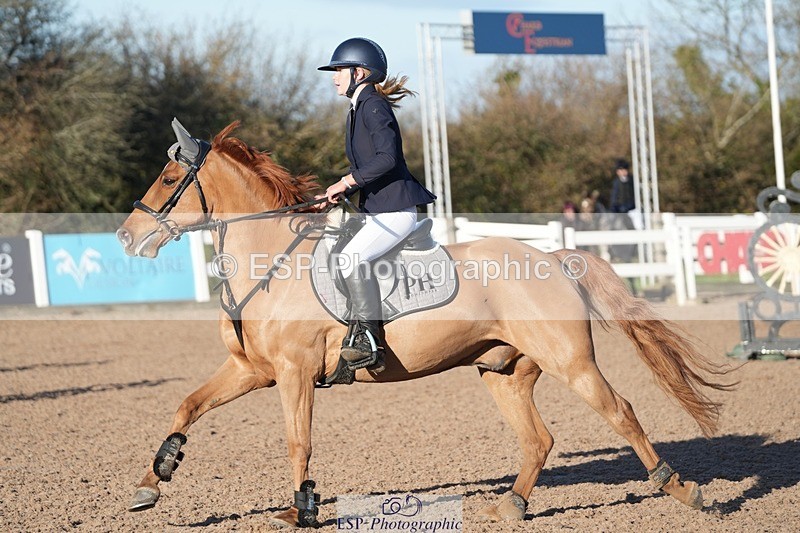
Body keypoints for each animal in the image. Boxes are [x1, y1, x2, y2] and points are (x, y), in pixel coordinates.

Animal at [117, 120, 731, 528]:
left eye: (169, 177)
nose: (125, 236)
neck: (272, 261)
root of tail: (553, 258)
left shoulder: (294, 374)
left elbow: (298, 441)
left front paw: (302, 509)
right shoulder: (252, 370)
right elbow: (187, 406)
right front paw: (152, 481)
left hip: (570, 362)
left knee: (620, 412)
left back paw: (681, 490)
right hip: (503, 371)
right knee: (539, 438)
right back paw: (511, 505)